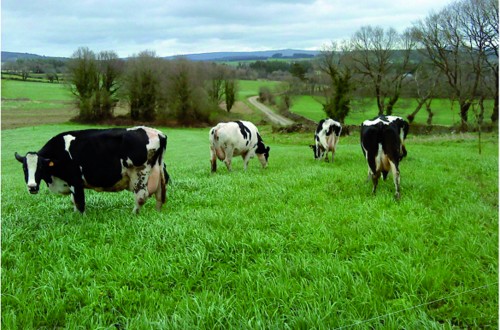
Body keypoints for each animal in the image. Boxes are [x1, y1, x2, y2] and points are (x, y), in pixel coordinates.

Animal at [15, 125, 170, 214]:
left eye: (40, 167)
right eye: (24, 168)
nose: (32, 187)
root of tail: (158, 133)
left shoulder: (76, 181)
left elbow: (80, 202)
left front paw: (80, 218)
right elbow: (74, 201)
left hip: (140, 173)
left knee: (141, 197)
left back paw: (133, 214)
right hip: (157, 172)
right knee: (159, 196)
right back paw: (157, 213)